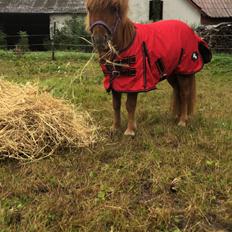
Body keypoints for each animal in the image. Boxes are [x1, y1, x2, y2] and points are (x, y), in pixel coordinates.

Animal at [85, 0, 212, 136]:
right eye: (89, 9)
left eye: (114, 9)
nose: (99, 40)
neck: (126, 42)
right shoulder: (114, 83)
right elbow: (116, 105)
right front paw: (115, 128)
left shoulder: (134, 84)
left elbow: (130, 105)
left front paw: (130, 130)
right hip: (172, 74)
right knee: (177, 91)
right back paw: (176, 117)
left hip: (184, 73)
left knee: (184, 93)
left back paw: (182, 121)